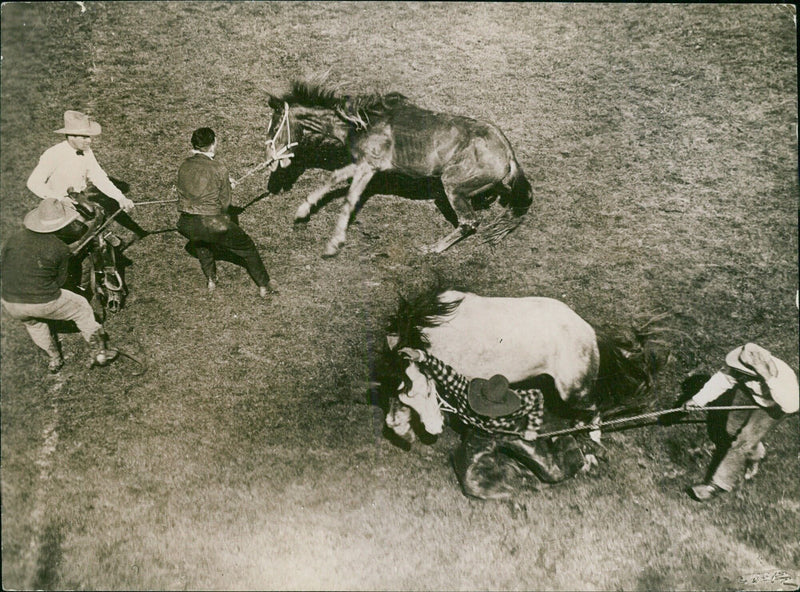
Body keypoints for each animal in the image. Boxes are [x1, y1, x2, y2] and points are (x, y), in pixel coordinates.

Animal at [266, 78, 536, 256]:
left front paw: (334, 243)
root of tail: (508, 155)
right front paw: (303, 209)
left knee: (469, 222)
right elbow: (334, 179)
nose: (269, 157)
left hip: (453, 186)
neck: (361, 123)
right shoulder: (363, 164)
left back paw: (433, 248)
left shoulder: (368, 167)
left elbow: (349, 200)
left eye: (276, 125)